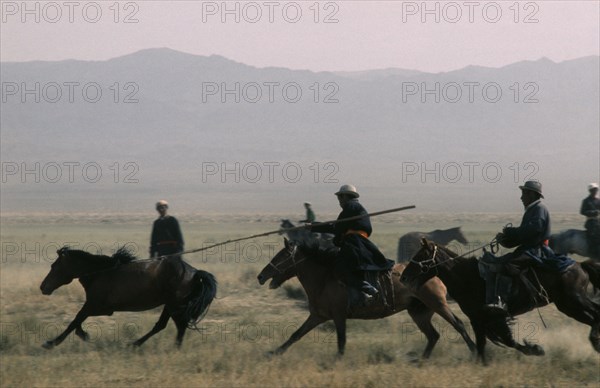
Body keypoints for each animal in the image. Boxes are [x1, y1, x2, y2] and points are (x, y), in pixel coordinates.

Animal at [39, 247, 218, 350]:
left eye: (54, 266)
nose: (43, 287)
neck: (100, 273)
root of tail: (194, 273)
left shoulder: (96, 306)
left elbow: (75, 320)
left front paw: (51, 343)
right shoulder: (101, 308)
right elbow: (78, 320)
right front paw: (83, 334)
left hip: (174, 305)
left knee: (177, 326)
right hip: (170, 305)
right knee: (164, 326)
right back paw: (138, 344)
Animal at [255, 239, 476, 358]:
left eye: (281, 256)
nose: (261, 276)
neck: (324, 278)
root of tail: (435, 273)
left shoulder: (338, 316)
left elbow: (341, 341)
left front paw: (337, 361)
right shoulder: (318, 316)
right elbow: (296, 335)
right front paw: (274, 353)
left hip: (438, 304)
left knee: (458, 324)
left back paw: (475, 351)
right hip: (418, 312)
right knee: (433, 336)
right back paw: (421, 360)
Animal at [398, 239, 600, 364]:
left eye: (420, 256)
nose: (403, 277)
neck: (468, 277)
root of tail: (580, 265)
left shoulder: (489, 318)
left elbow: (500, 341)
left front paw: (535, 349)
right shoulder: (480, 320)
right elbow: (491, 343)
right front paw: (533, 349)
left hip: (573, 302)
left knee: (595, 315)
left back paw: (595, 341)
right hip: (572, 304)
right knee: (595, 314)